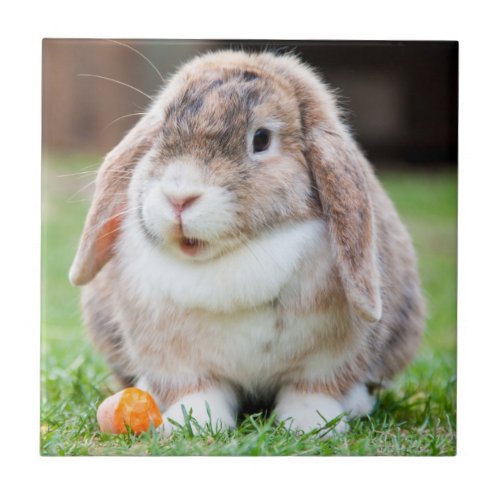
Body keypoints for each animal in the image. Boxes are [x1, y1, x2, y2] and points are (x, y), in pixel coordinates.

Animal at [67, 48, 426, 436]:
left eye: (262, 139)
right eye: (161, 130)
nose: (179, 197)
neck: (232, 257)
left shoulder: (328, 358)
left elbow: (311, 389)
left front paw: (311, 425)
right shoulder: (177, 360)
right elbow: (197, 390)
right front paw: (192, 424)